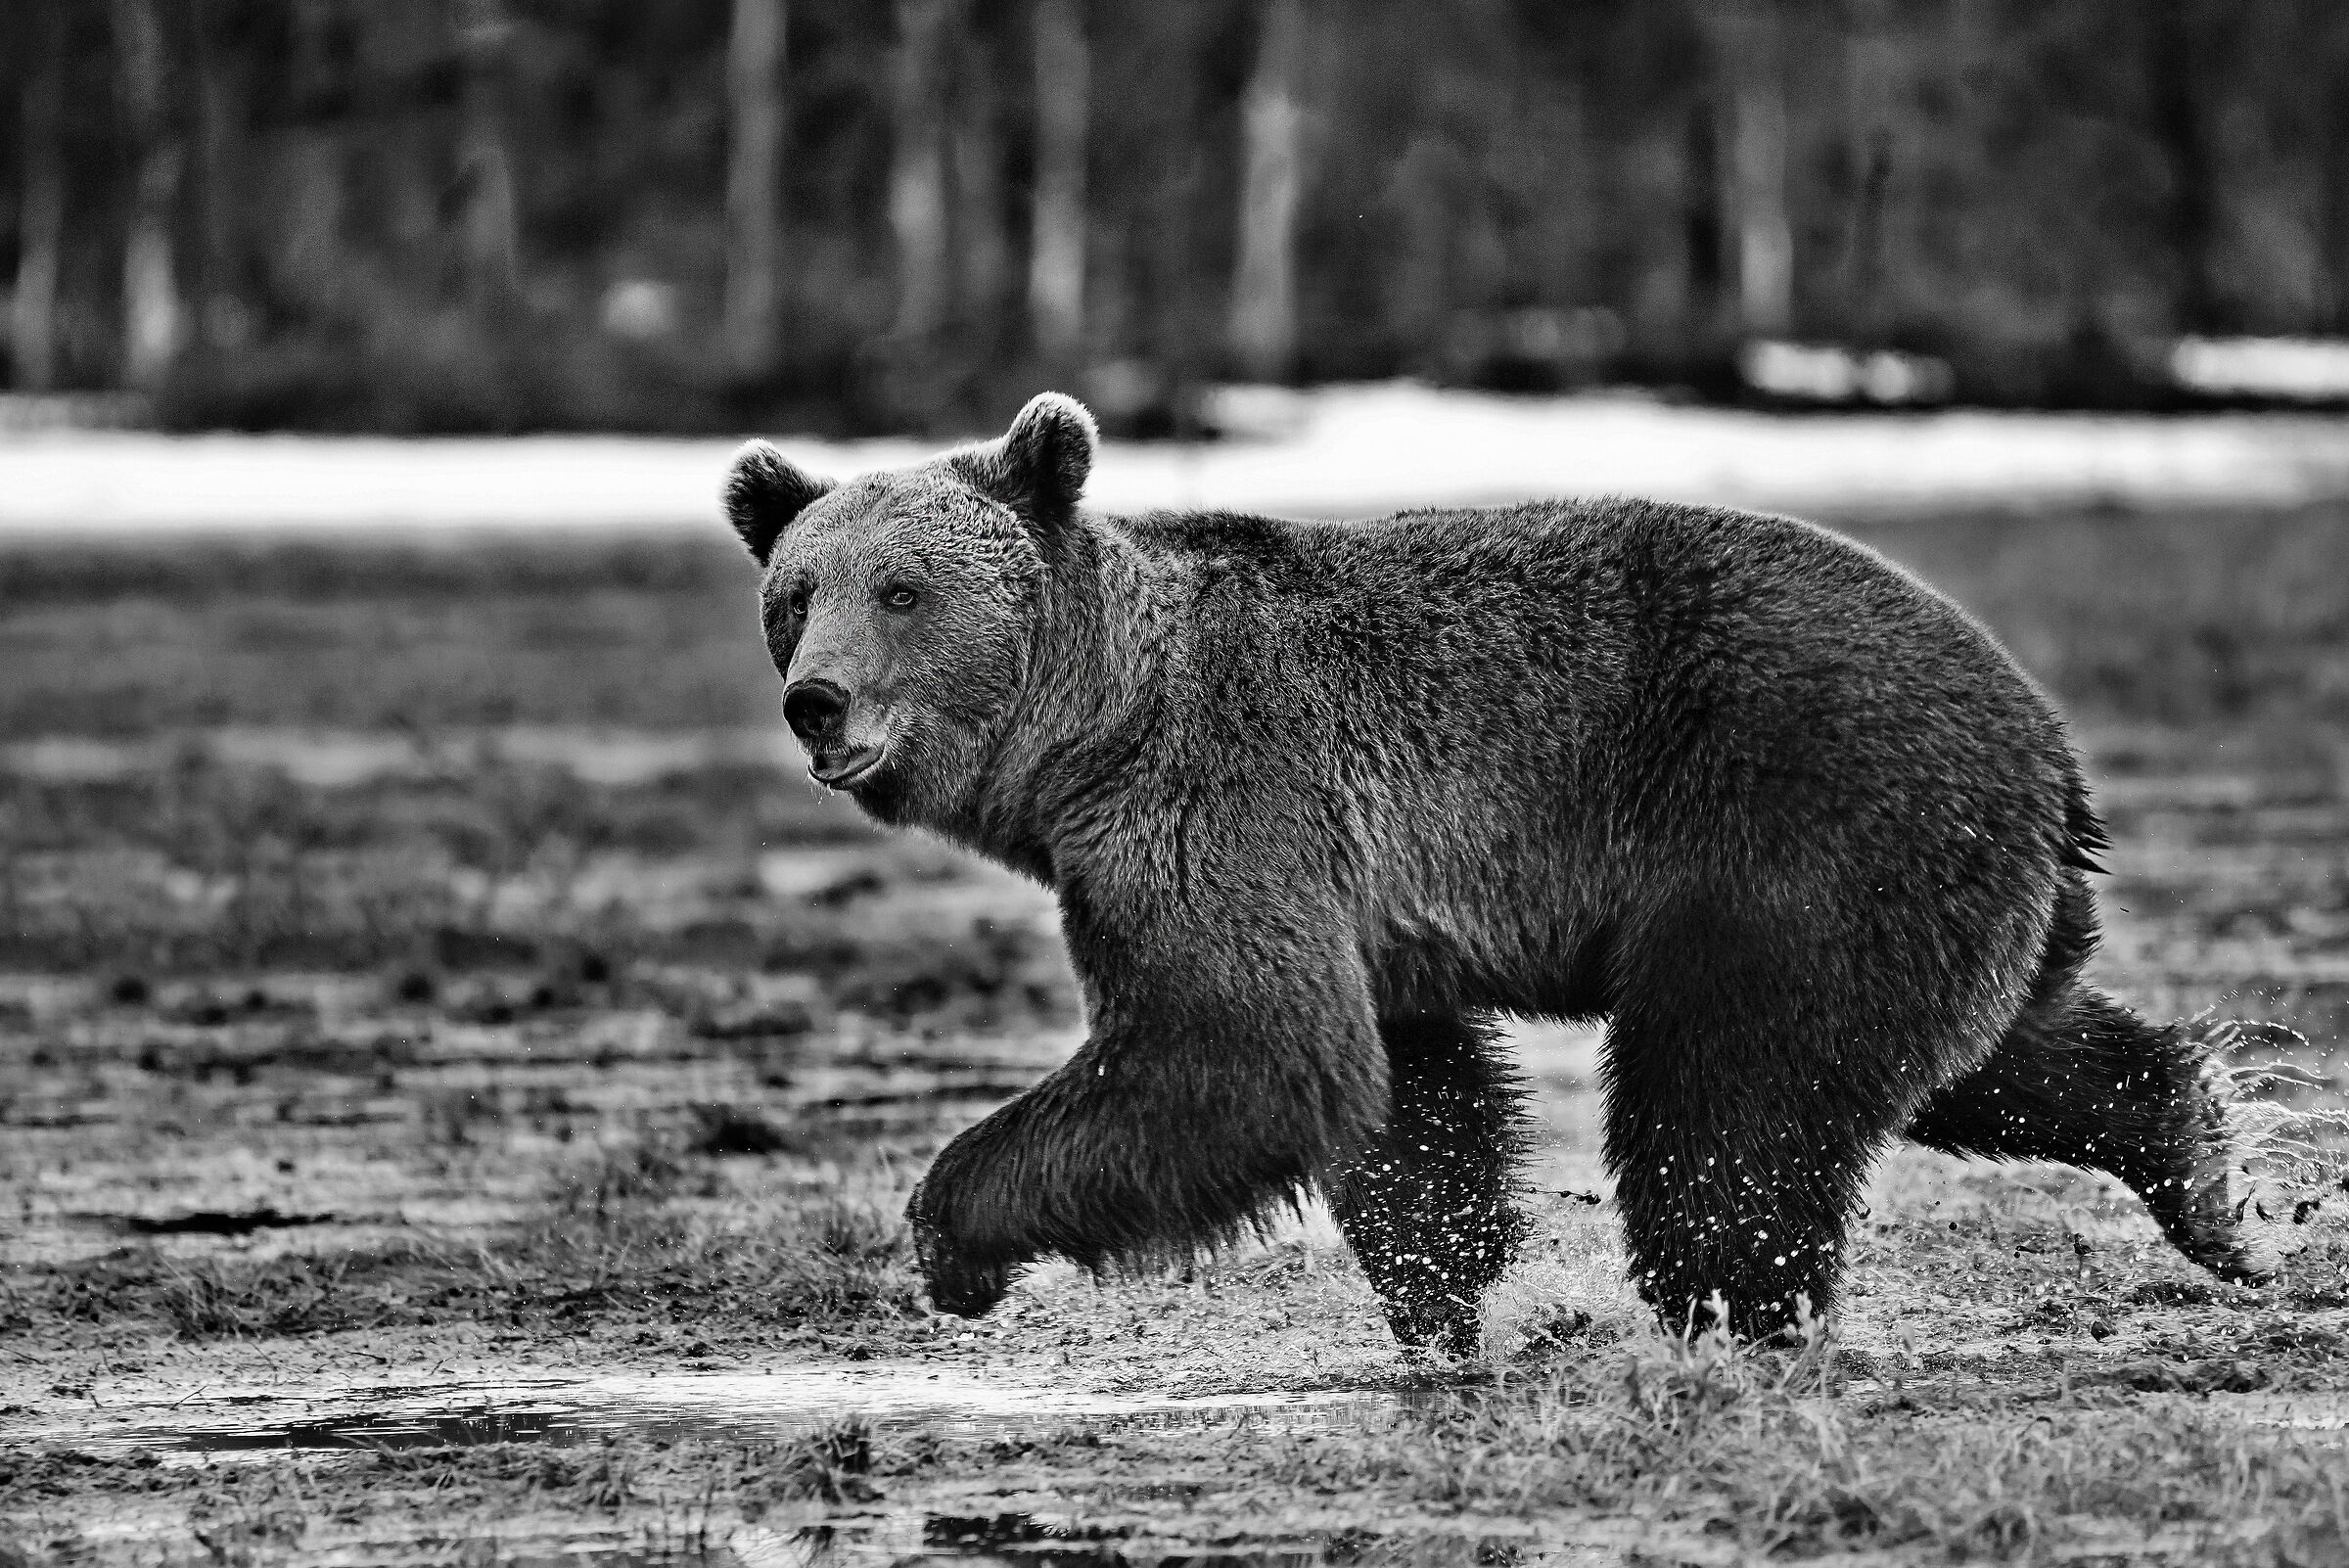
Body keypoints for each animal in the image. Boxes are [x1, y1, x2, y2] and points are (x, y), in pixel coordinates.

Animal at [723, 391, 2288, 1352]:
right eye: (793, 594)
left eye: (902, 589)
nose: (816, 703)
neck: (1089, 731)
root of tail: (2047, 741)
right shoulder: (1348, 897)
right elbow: (1398, 1096)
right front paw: (1442, 1300)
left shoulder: (1212, 801)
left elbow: (1233, 1042)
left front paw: (951, 1239)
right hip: (1956, 887)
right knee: (1998, 1054)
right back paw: (2210, 1166)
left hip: (1806, 827)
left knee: (1732, 1101)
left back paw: (1737, 1315)